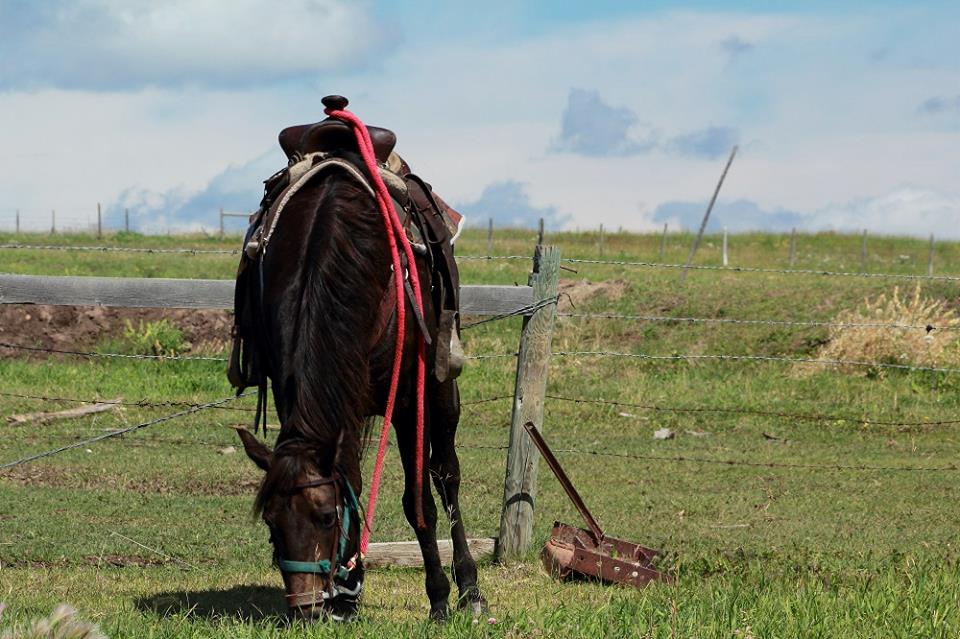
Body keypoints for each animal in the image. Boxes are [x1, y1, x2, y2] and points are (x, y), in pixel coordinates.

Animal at [229, 102, 484, 624]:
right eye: (271, 524)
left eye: (325, 516)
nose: (306, 607)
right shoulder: (299, 391)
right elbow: (351, 476)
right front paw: (346, 591)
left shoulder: (408, 400)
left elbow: (418, 501)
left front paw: (439, 597)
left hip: (441, 389)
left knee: (446, 476)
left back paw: (470, 589)